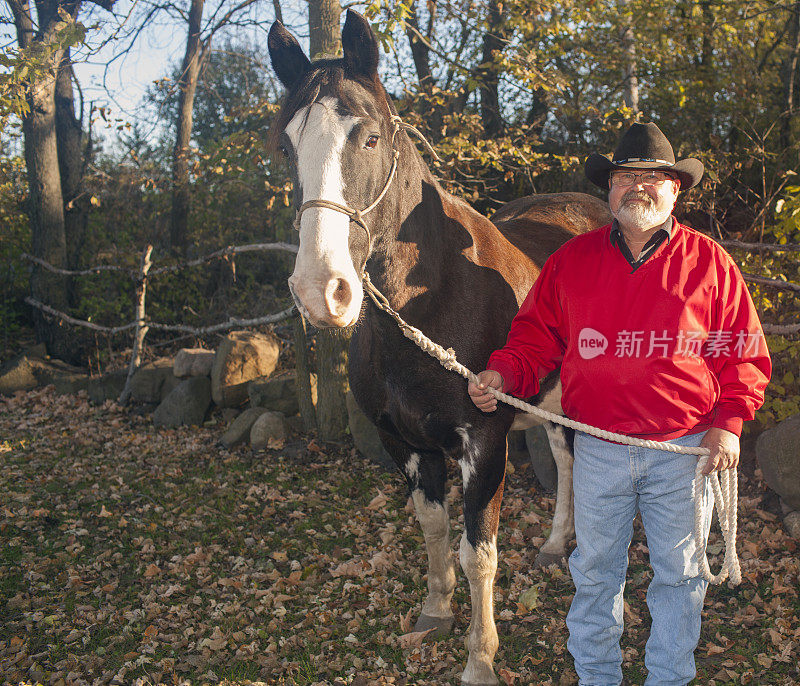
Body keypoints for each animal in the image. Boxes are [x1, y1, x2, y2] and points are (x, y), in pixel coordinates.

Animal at [266, 9, 608, 684]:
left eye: (370, 138)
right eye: (286, 145)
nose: (322, 290)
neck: (431, 305)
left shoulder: (484, 444)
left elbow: (478, 551)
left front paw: (480, 657)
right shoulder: (405, 442)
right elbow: (432, 526)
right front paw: (435, 611)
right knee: (563, 455)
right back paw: (555, 545)